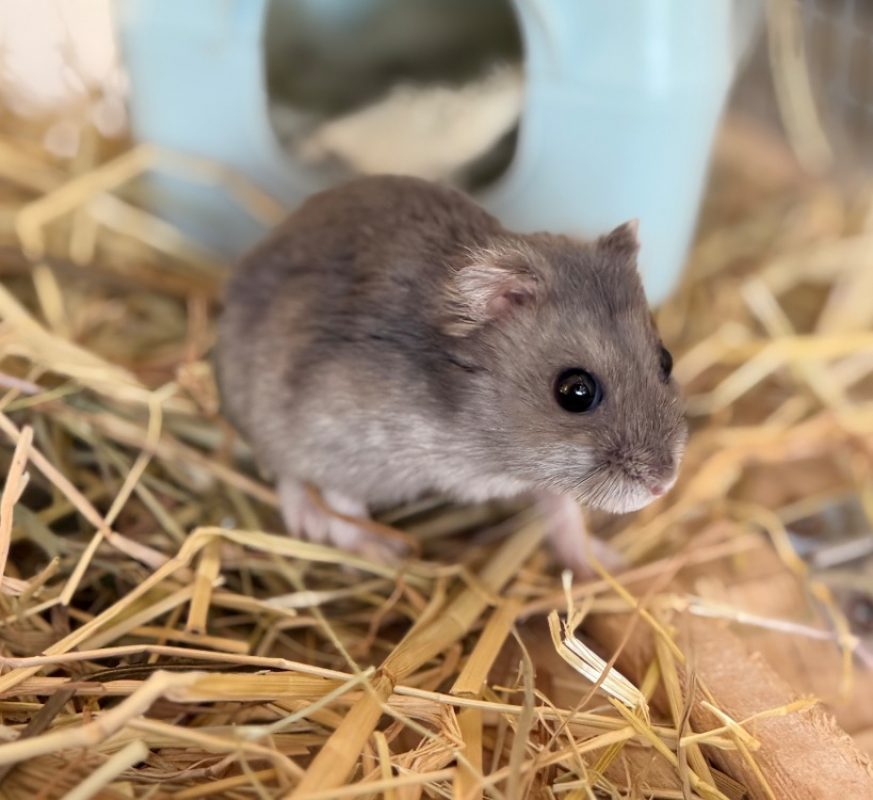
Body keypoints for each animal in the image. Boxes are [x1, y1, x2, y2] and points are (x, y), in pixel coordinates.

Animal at [216, 175, 687, 568]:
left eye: (666, 360)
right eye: (575, 392)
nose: (664, 485)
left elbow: (562, 507)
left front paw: (606, 564)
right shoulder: (333, 432)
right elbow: (340, 501)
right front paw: (384, 554)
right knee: (286, 474)